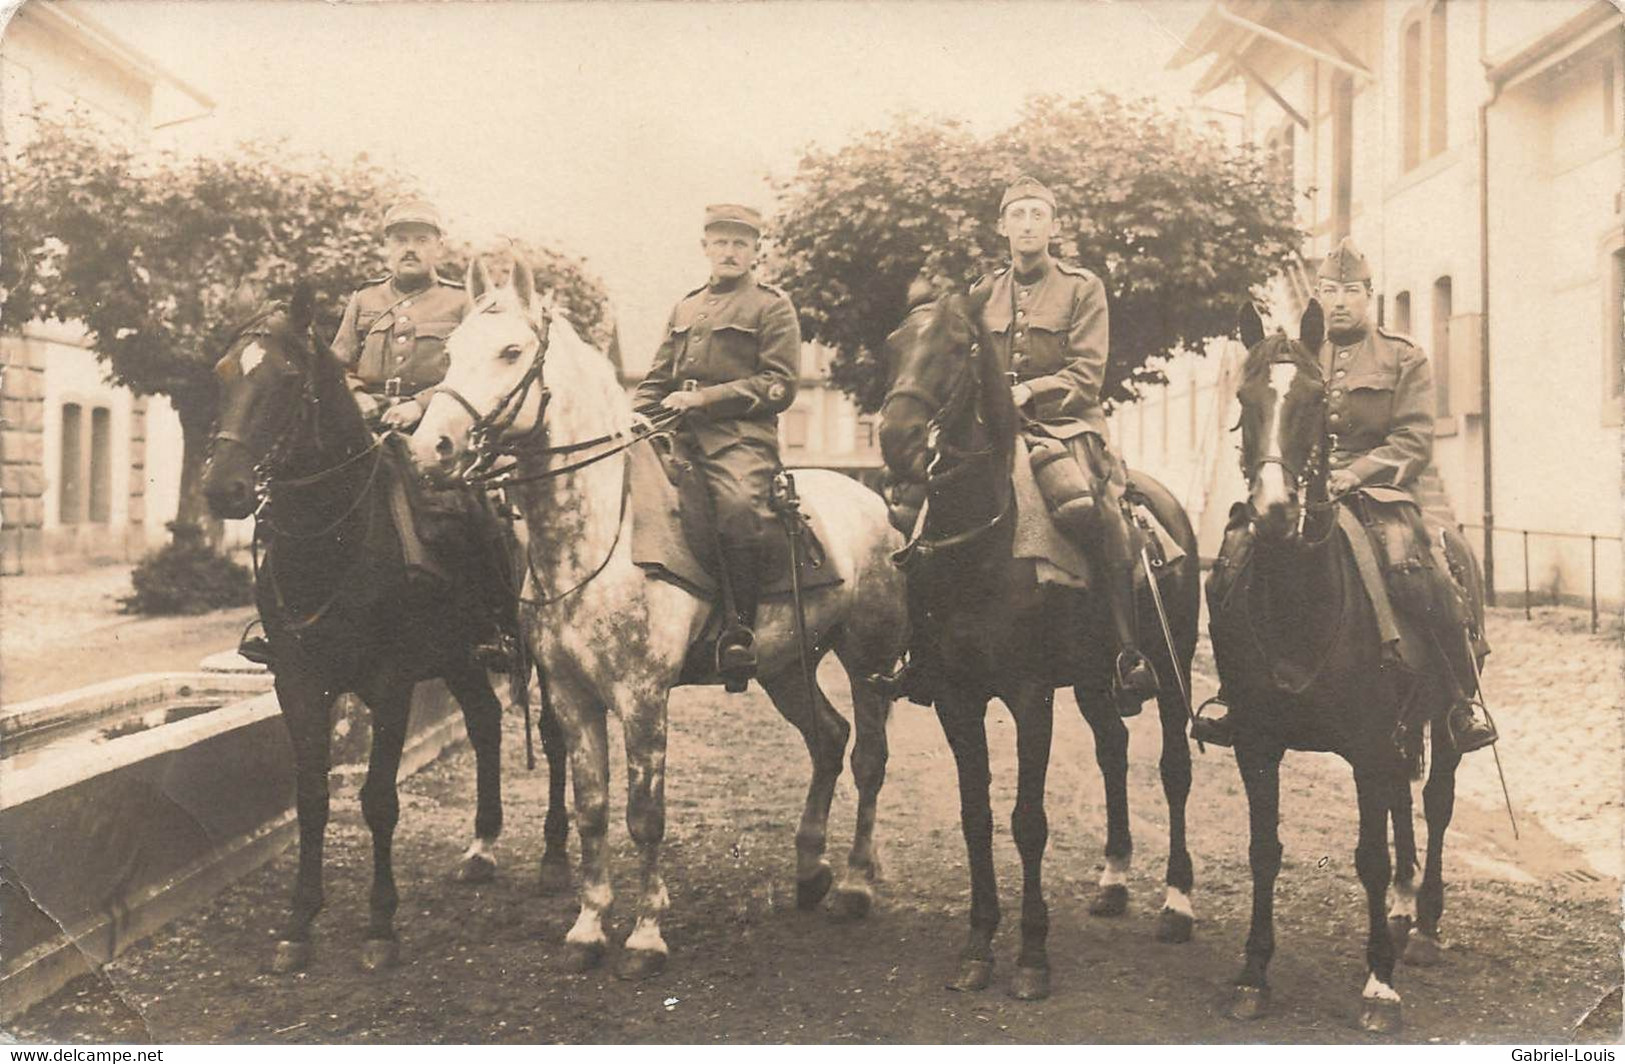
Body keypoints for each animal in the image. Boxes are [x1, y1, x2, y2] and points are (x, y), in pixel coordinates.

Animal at [877, 287, 1209, 1000]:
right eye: (893, 343)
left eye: (958, 346)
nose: (895, 438)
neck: (982, 543)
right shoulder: (956, 697)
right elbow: (976, 816)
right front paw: (978, 944)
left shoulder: (1031, 697)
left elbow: (1028, 821)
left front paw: (1032, 955)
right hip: (1092, 680)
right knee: (1113, 750)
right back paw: (1114, 880)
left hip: (1169, 673)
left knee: (1174, 770)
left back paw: (1176, 903)